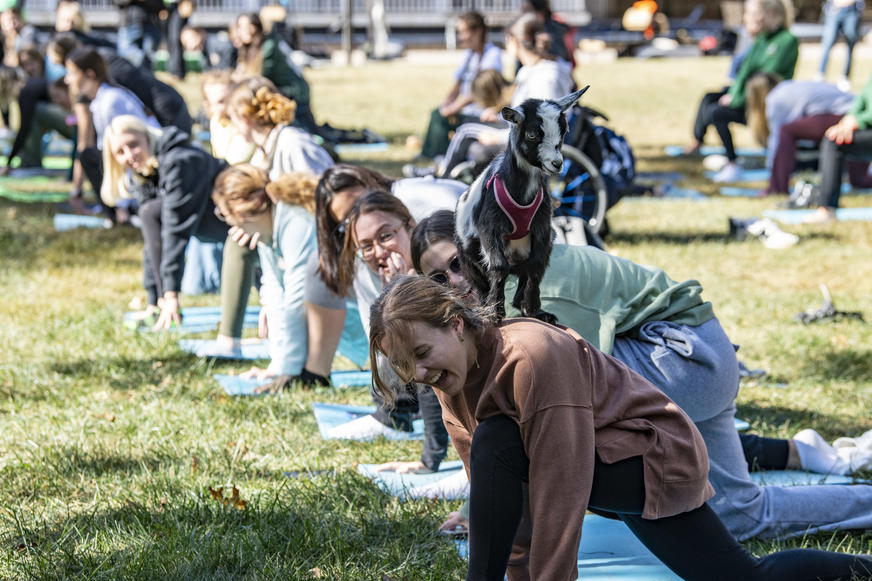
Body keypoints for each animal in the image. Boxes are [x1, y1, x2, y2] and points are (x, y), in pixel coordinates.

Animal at [454, 86, 588, 322]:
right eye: (532, 135)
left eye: (563, 131)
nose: (556, 163)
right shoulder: (489, 226)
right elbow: (498, 266)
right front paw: (495, 313)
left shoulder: (543, 226)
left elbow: (536, 266)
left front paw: (533, 308)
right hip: (467, 256)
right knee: (482, 282)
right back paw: (484, 306)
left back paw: (528, 307)